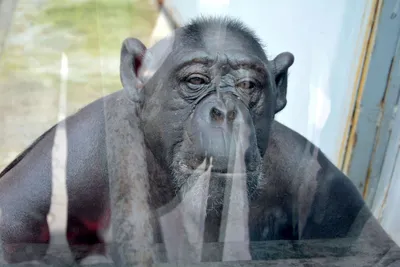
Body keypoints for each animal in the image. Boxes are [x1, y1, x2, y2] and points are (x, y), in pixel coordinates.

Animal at [0, 16, 400, 266]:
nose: (225, 110)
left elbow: (371, 251)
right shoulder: (74, 159)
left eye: (247, 85)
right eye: (195, 81)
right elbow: (13, 232)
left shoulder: (318, 180)